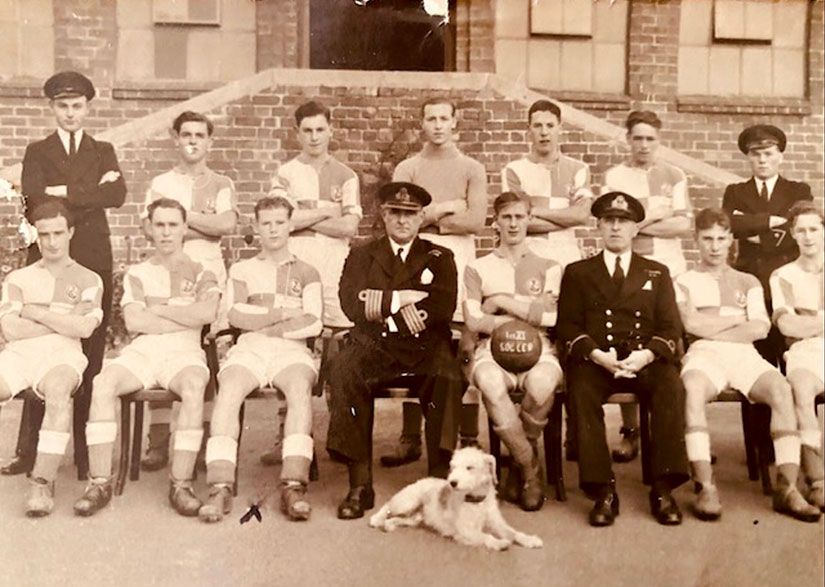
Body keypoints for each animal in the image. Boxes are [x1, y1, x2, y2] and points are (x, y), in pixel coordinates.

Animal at [370, 448, 544, 552]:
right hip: (407, 502)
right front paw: (499, 543)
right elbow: (485, 536)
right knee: (387, 506)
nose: (452, 483)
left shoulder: (497, 523)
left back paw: (388, 525)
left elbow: (513, 533)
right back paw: (376, 519)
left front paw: (530, 539)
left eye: (469, 467)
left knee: (396, 519)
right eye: (453, 467)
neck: (476, 501)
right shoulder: (465, 530)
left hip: (415, 518)